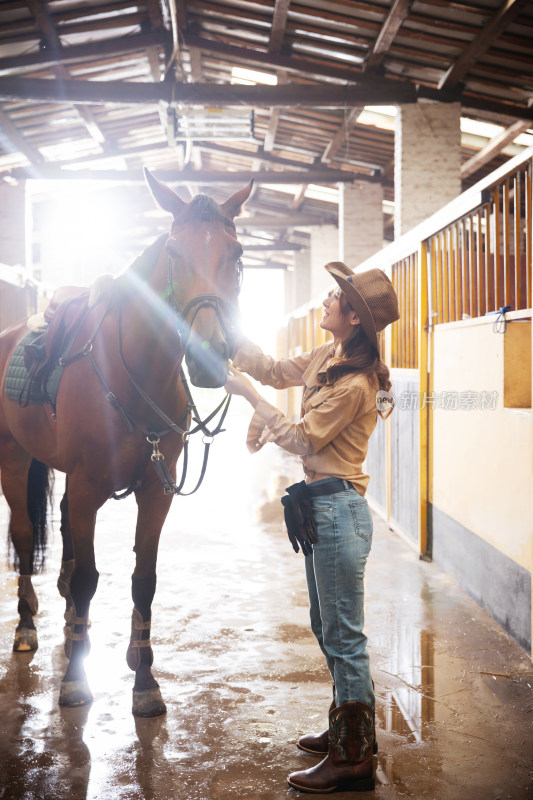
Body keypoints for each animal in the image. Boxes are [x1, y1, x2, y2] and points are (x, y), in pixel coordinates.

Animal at [0, 170, 251, 720]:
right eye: (174, 252)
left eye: (237, 252)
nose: (208, 355)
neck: (136, 371)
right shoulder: (88, 486)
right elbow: (90, 578)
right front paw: (75, 681)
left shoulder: (156, 491)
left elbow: (143, 579)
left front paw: (144, 680)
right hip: (14, 458)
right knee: (26, 539)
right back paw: (27, 626)